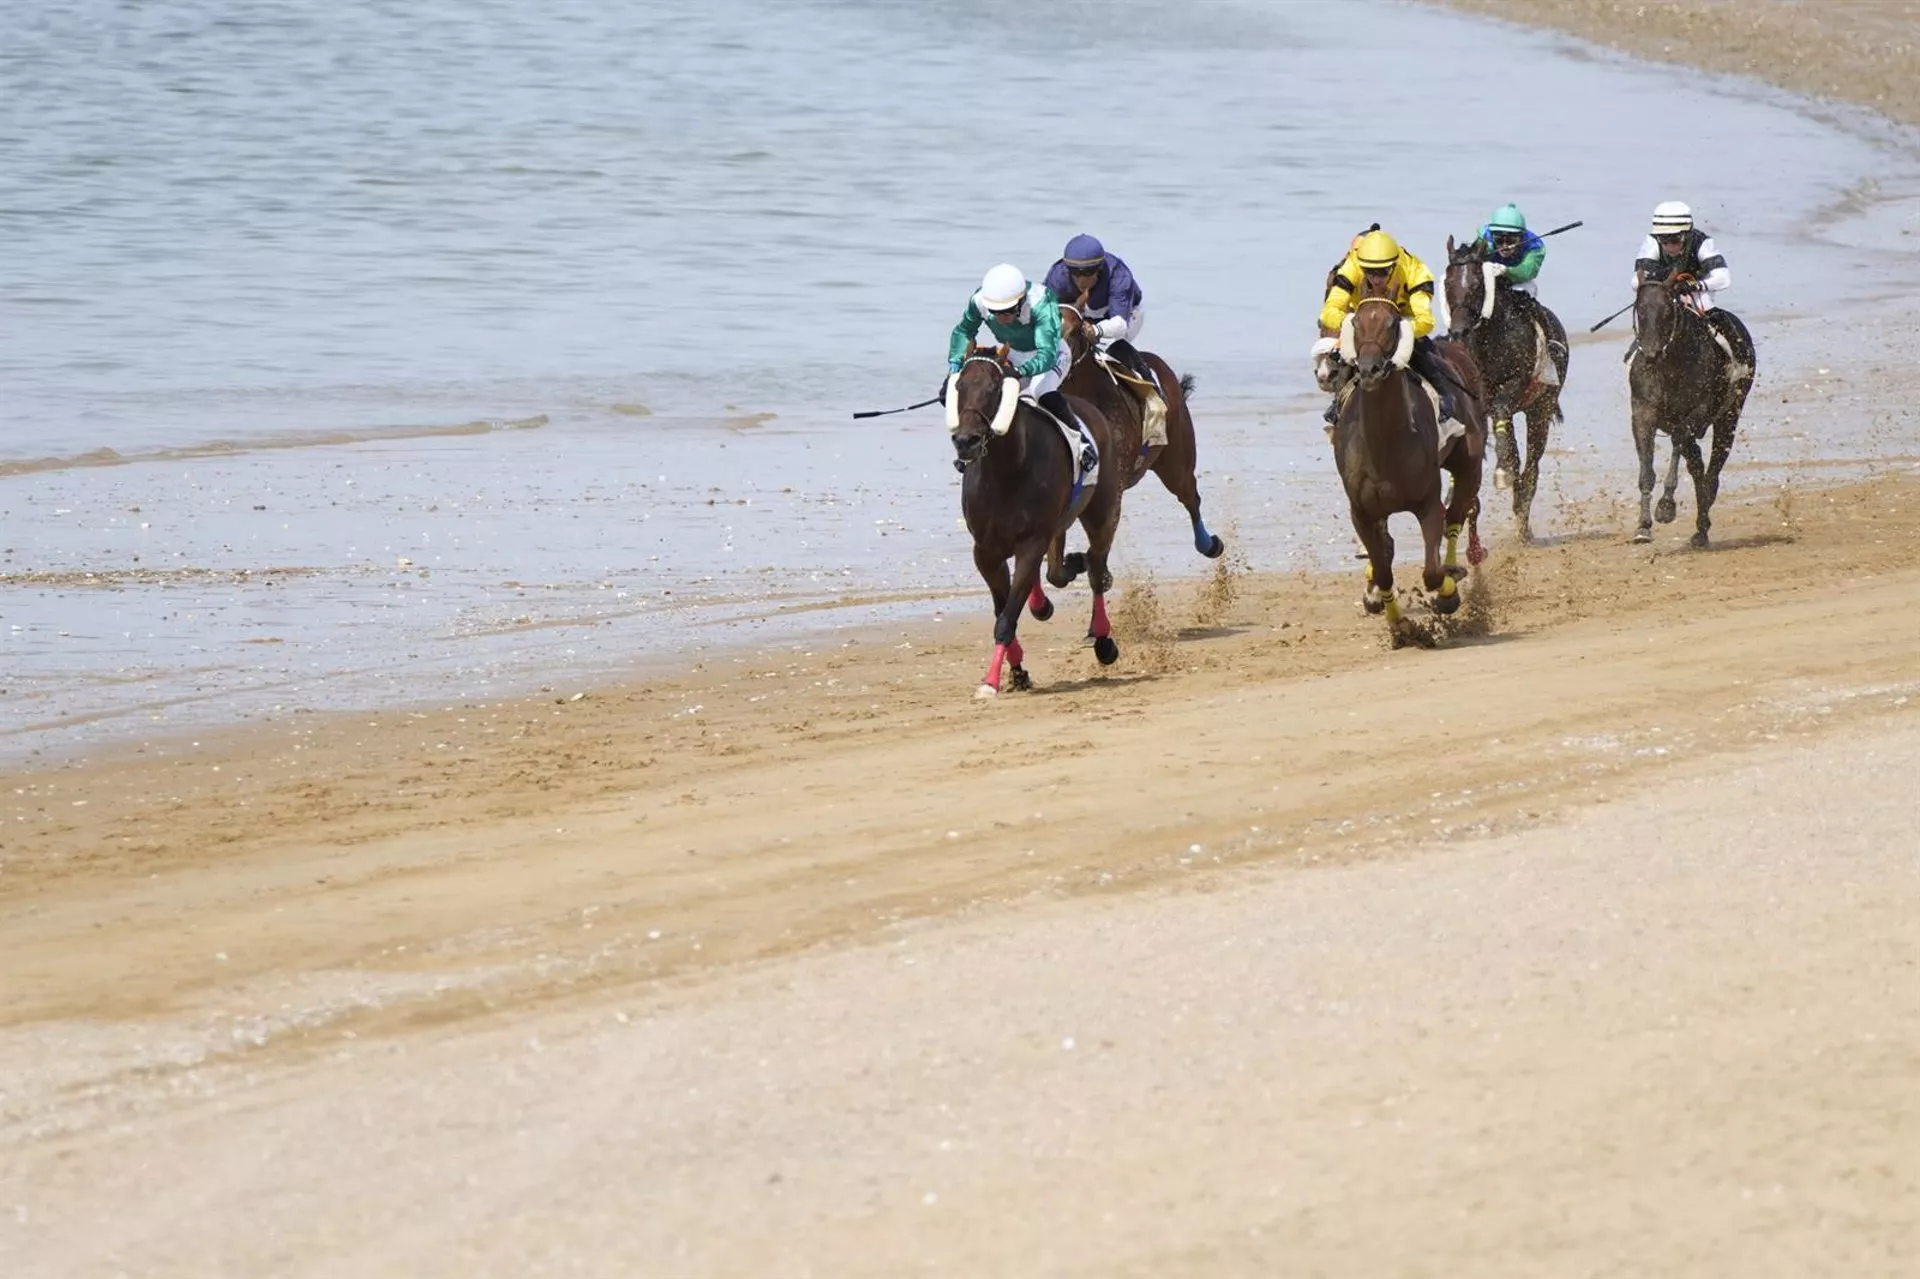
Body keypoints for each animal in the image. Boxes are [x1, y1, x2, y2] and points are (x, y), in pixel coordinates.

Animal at [948, 345, 1121, 699]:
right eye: (959, 386)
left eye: (994, 388)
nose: (966, 440)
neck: (1007, 470)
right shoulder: (985, 551)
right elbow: (1003, 611)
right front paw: (1017, 671)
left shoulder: (1030, 542)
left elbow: (1006, 618)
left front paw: (991, 681)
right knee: (1058, 570)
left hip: (1101, 511)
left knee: (1097, 568)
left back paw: (1103, 638)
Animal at [1328, 278, 1489, 637]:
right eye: (1356, 323)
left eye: (1391, 323)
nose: (1370, 369)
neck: (1385, 445)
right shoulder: (1362, 512)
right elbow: (1383, 567)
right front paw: (1399, 625)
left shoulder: (1426, 501)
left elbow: (1431, 571)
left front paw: (1447, 595)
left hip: (1469, 463)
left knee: (1455, 515)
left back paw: (1454, 569)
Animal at [1443, 231, 1566, 541]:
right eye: (1448, 282)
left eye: (1477, 284)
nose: (1458, 332)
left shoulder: (1515, 384)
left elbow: (1500, 408)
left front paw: (1503, 471)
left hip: (1541, 408)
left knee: (1532, 463)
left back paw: (1521, 508)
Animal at [1628, 274, 1751, 541]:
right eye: (1640, 311)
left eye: (1667, 311)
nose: (1651, 354)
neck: (1671, 367)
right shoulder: (1643, 415)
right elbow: (1647, 469)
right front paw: (1643, 525)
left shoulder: (1694, 415)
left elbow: (1680, 443)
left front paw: (1665, 506)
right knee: (1697, 464)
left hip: (1730, 414)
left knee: (1712, 468)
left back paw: (1702, 525)